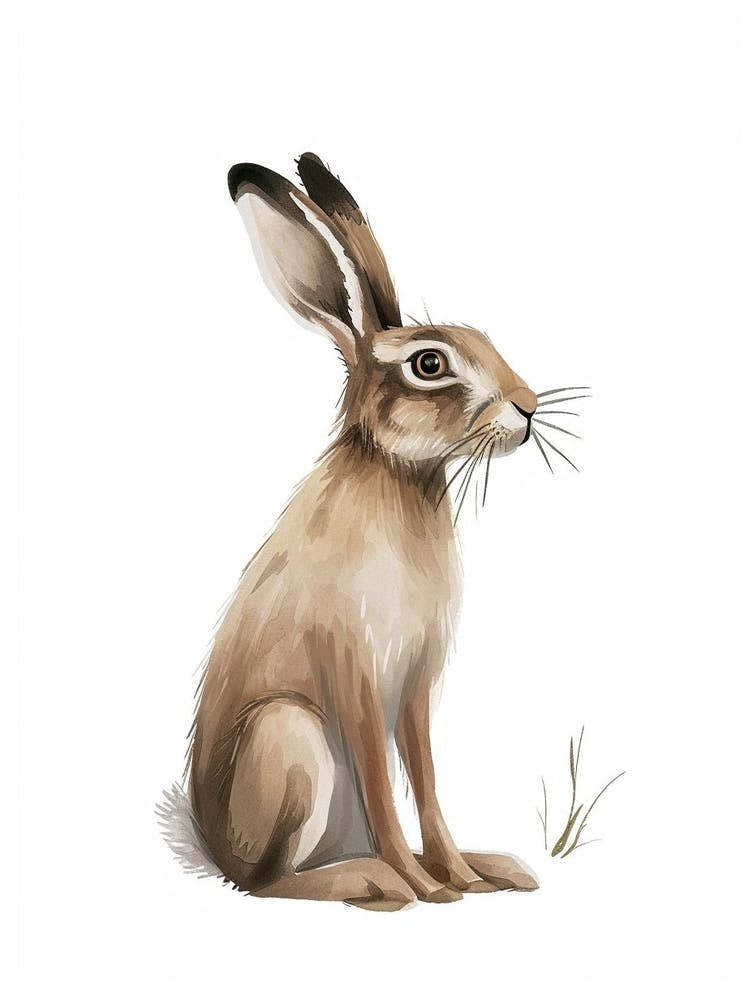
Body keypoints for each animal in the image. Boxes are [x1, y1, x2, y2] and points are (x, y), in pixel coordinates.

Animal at [188, 152, 547, 910]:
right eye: (430, 364)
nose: (529, 406)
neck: (396, 473)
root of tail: (212, 845)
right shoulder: (352, 663)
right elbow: (385, 790)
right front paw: (430, 891)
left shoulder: (416, 681)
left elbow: (427, 785)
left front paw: (460, 878)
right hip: (287, 739)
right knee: (267, 884)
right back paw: (372, 878)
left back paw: (498, 867)